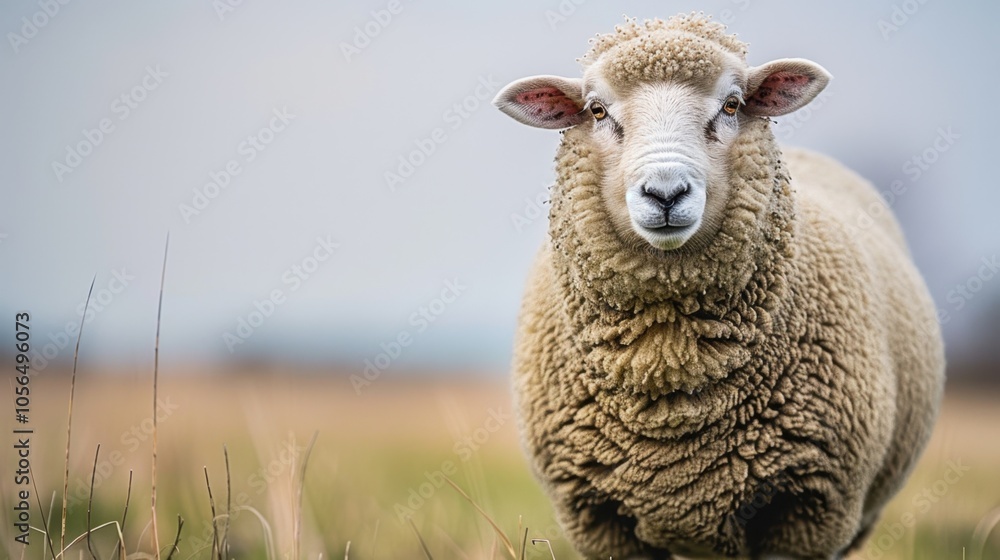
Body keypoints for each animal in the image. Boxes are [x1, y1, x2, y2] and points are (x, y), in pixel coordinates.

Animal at [493, 13, 944, 560]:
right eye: (597, 110)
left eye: (731, 104)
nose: (665, 193)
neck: (668, 355)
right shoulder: (596, 517)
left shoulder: (810, 511)